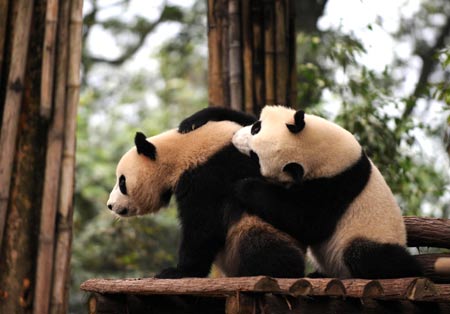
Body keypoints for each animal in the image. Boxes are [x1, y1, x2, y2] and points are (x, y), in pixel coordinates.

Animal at [106, 112, 304, 278]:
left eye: (122, 182)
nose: (110, 205)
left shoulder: (208, 175)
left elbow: (202, 225)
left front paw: (179, 271)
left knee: (256, 237)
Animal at [178, 106, 422, 280]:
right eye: (256, 127)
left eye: (256, 157)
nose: (235, 138)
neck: (320, 152)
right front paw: (195, 120)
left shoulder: (336, 185)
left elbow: (305, 221)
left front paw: (244, 186)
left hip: (371, 236)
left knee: (367, 255)